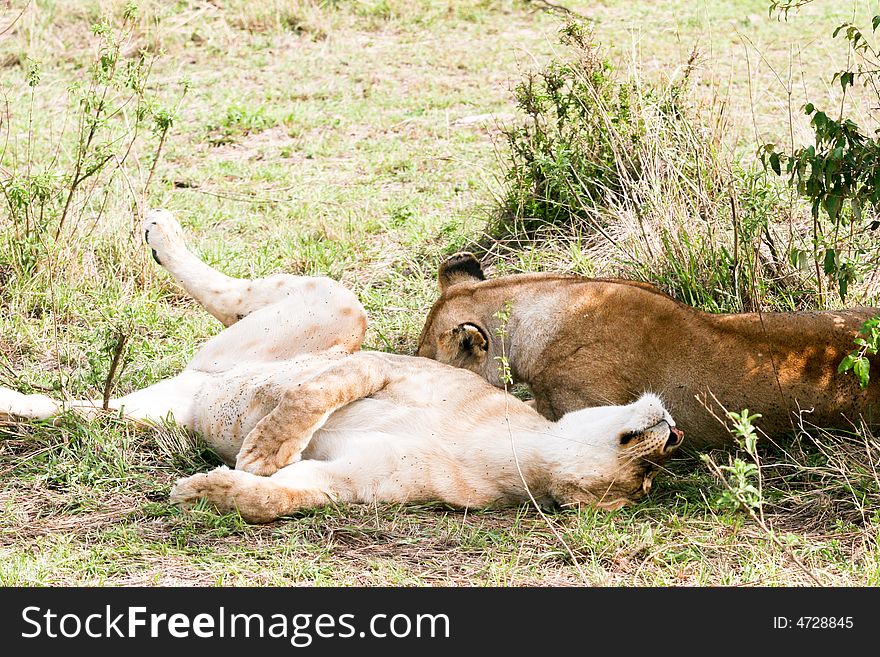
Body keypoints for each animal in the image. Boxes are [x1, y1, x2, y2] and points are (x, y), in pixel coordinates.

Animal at [0, 209, 680, 516]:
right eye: (649, 466)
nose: (673, 433)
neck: (518, 450)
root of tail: (190, 384)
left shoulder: (356, 482)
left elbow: (280, 497)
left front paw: (206, 488)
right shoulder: (390, 366)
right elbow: (314, 393)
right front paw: (262, 451)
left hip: (142, 416)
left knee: (76, 411)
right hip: (340, 311)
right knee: (233, 291)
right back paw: (160, 230)